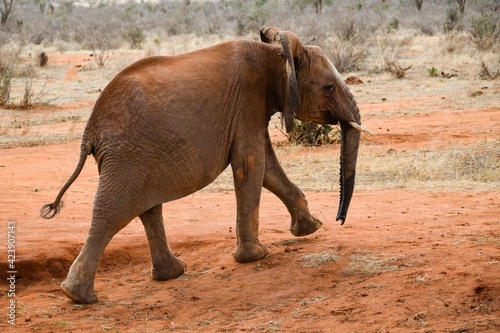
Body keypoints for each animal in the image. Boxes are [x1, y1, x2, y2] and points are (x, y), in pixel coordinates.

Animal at [41, 27, 372, 304]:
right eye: (329, 88)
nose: (339, 219)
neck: (276, 52)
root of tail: (90, 130)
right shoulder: (248, 103)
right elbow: (251, 165)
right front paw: (257, 256)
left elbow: (267, 168)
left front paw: (310, 228)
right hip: (127, 154)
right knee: (112, 212)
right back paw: (78, 296)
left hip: (136, 155)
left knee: (148, 208)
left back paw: (170, 274)